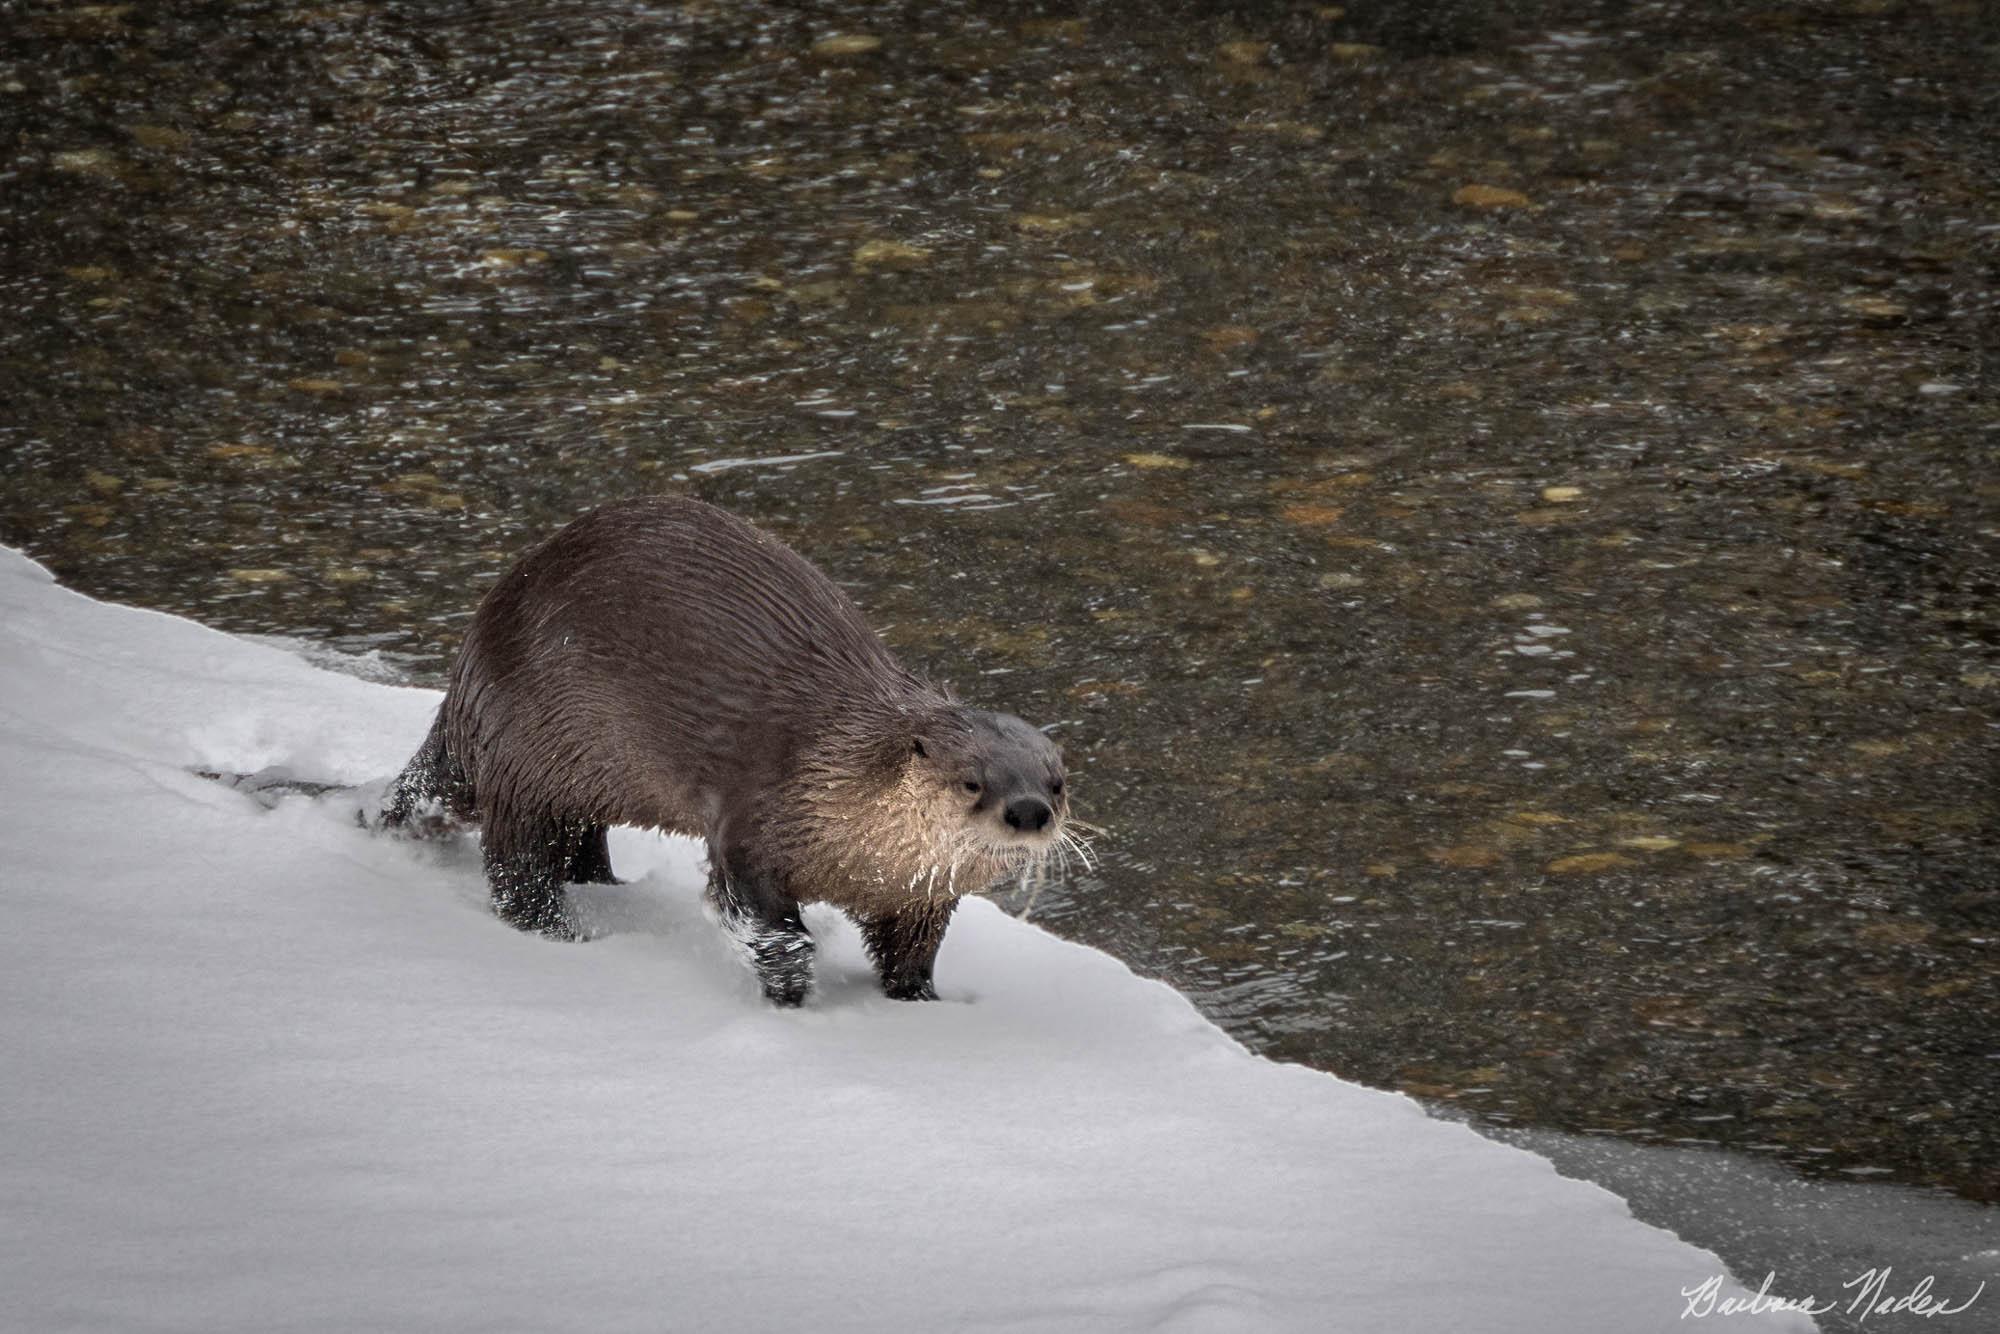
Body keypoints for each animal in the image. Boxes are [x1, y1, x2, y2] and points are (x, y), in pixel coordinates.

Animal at [384, 496, 1088, 1008]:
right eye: (973, 780)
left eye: (1055, 783)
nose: (1028, 810)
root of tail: (468, 672)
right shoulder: (754, 824)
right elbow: (762, 922)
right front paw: (790, 993)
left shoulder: (918, 897)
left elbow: (911, 951)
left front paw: (918, 1002)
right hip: (524, 757)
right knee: (518, 867)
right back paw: (566, 935)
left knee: (576, 842)